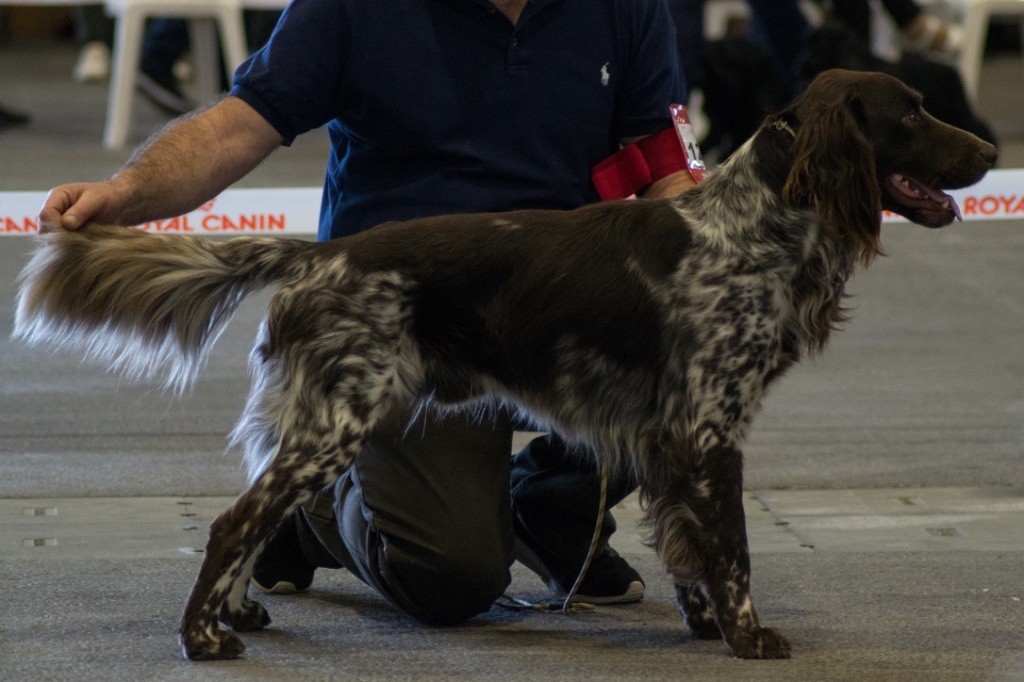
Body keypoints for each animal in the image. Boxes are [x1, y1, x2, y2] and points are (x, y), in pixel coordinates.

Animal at [14, 70, 991, 659]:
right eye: (909, 111)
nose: (988, 153)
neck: (757, 227)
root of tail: (321, 254)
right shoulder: (710, 431)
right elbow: (734, 550)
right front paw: (750, 638)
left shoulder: (667, 436)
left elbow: (691, 550)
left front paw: (707, 625)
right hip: (338, 420)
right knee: (233, 520)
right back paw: (205, 636)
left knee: (260, 512)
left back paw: (243, 608)